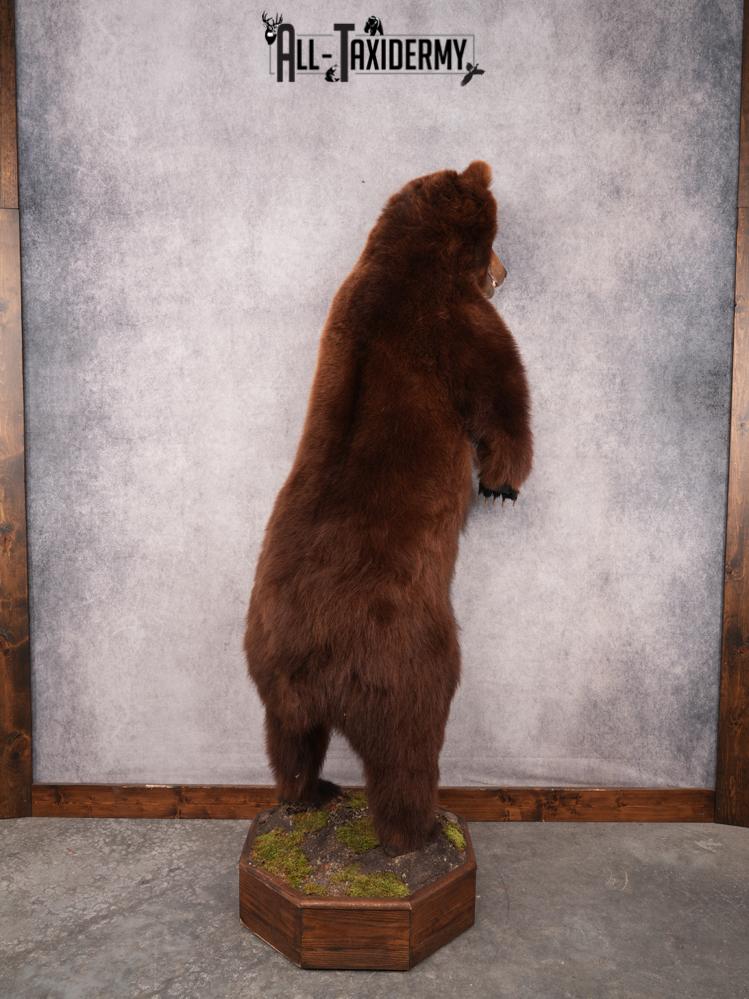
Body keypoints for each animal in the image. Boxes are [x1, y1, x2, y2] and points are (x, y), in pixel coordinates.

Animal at [244, 161, 532, 855]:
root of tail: (311, 653)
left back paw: (308, 795)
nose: (507, 272)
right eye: (493, 240)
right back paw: (418, 831)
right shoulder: (451, 321)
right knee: (409, 743)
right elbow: (501, 388)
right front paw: (503, 483)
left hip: (270, 673)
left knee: (290, 741)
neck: (408, 261)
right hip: (406, 652)